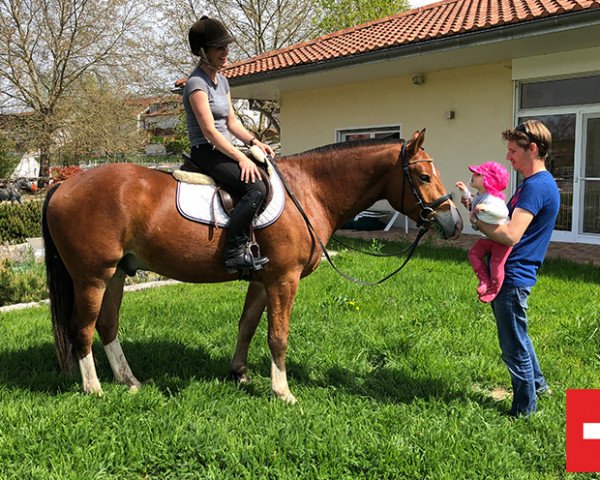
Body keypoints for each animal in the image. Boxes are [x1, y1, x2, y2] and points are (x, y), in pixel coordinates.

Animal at [43, 129, 464, 404]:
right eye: (424, 176)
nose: (454, 222)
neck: (307, 191)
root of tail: (63, 185)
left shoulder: (262, 279)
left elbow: (247, 326)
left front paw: (240, 374)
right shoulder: (283, 280)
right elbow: (278, 336)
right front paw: (282, 391)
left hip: (115, 274)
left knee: (107, 325)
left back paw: (128, 380)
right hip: (92, 277)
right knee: (82, 329)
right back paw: (94, 389)